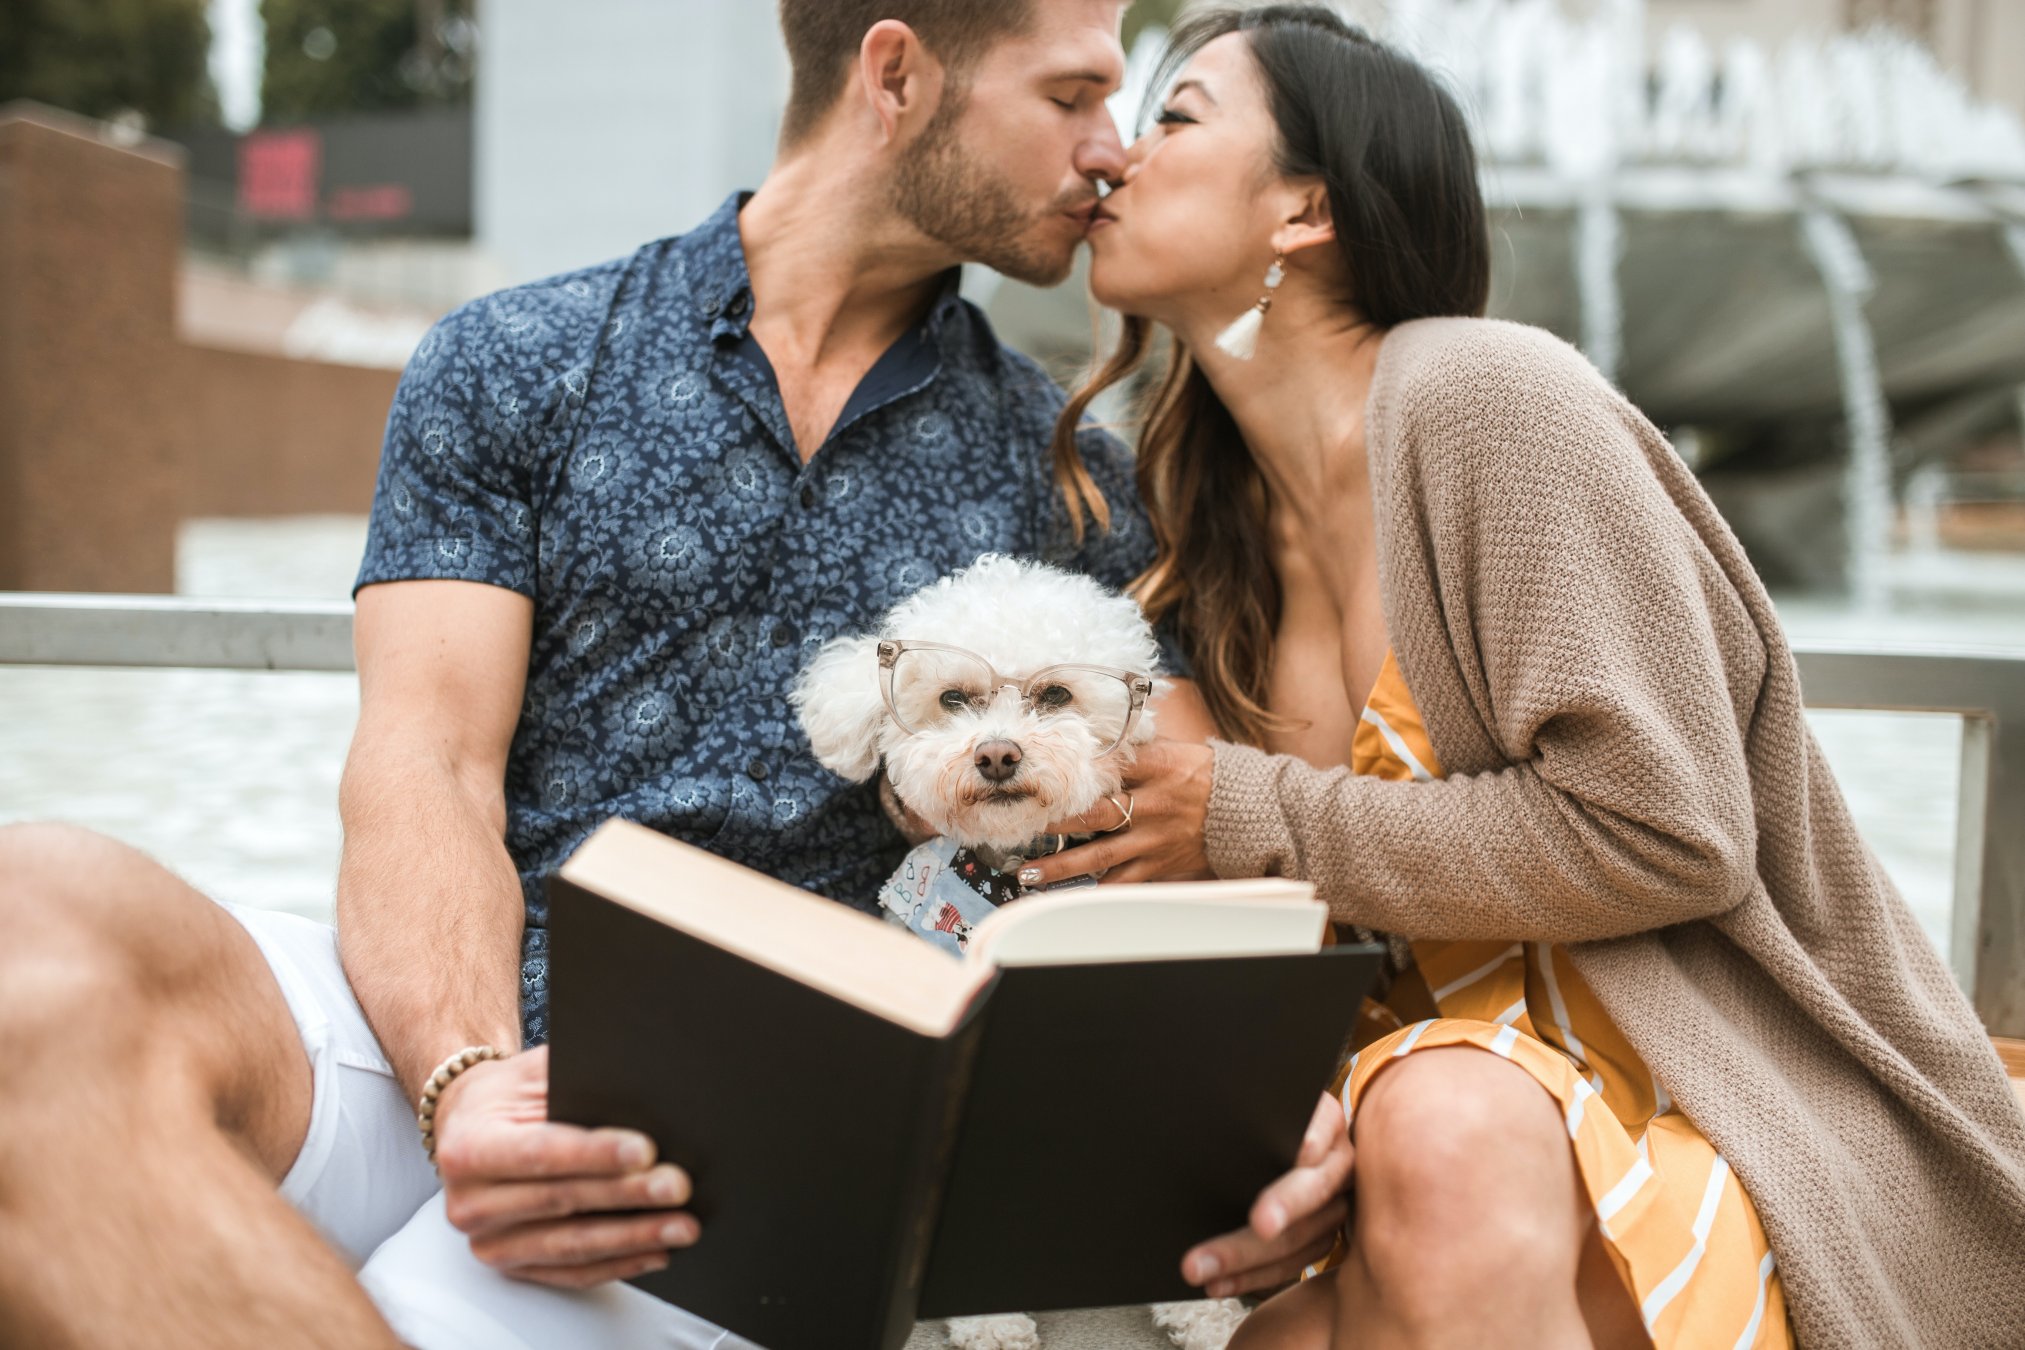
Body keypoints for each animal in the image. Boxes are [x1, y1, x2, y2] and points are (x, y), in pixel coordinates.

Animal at [789, 554, 1247, 1350]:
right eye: (953, 699)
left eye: (1055, 695)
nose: (997, 753)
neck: (1007, 888)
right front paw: (989, 1318)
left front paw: (1205, 1305)